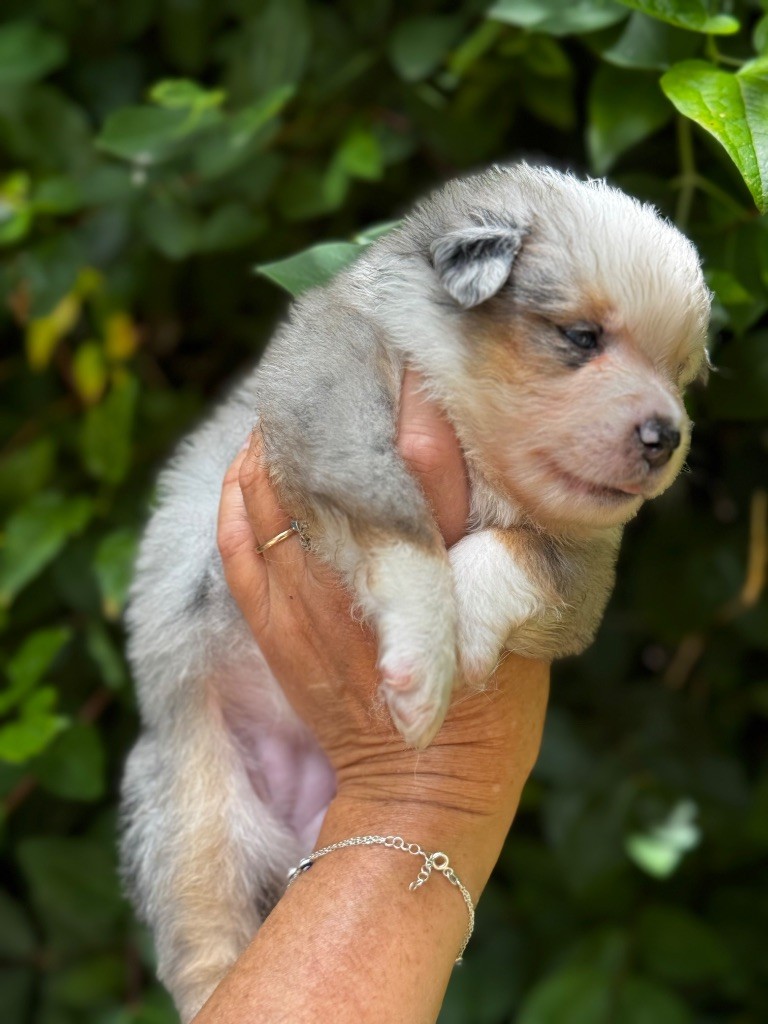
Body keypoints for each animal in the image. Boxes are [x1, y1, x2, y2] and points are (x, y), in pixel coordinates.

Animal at [121, 163, 710, 1020]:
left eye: (683, 375)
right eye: (581, 338)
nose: (667, 436)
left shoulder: (586, 571)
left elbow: (516, 554)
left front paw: (467, 631)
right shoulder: (333, 409)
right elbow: (405, 529)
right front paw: (426, 663)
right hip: (192, 816)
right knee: (201, 942)